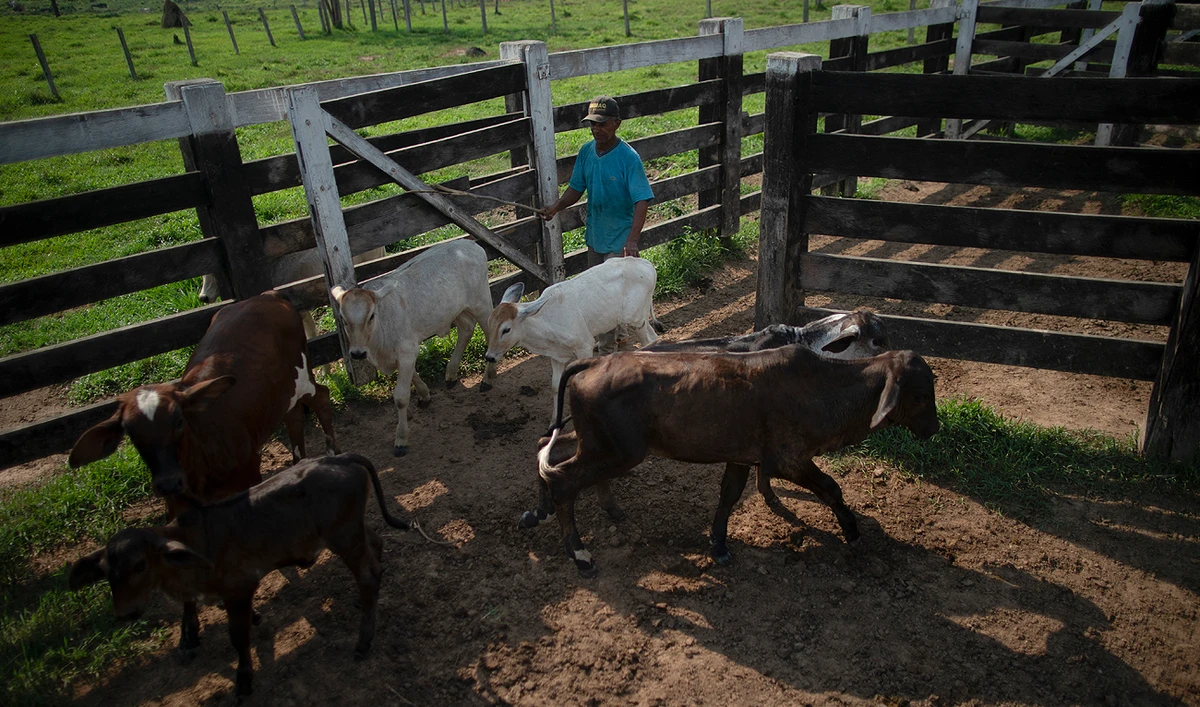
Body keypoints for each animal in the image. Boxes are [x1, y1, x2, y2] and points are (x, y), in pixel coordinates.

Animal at [68, 453, 410, 698]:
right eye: (107, 572)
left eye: (140, 565)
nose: (124, 613)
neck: (195, 543)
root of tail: (341, 458)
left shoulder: (240, 588)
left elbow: (238, 636)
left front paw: (244, 679)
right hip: (353, 532)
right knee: (376, 547)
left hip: (344, 537)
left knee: (368, 575)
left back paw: (363, 640)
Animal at [330, 239, 497, 457]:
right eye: (343, 318)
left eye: (371, 315)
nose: (357, 353)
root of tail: (469, 243)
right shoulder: (403, 353)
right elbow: (412, 375)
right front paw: (424, 395)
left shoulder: (406, 349)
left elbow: (401, 397)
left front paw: (401, 440)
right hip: (455, 310)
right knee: (466, 329)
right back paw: (451, 374)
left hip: (481, 303)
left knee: (490, 334)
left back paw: (487, 378)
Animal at [483, 256, 660, 422]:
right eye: (489, 323)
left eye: (506, 329)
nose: (489, 356)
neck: (546, 321)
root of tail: (646, 264)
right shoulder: (556, 356)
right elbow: (555, 385)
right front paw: (554, 422)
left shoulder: (584, 346)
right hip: (642, 318)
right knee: (654, 338)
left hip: (636, 320)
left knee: (648, 342)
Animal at [532, 345, 940, 575]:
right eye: (921, 395)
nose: (935, 428)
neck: (822, 387)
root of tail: (592, 363)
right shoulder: (790, 459)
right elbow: (831, 488)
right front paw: (852, 532)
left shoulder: (742, 456)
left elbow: (729, 496)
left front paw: (718, 545)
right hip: (616, 451)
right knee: (562, 480)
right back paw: (580, 555)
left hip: (594, 443)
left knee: (545, 449)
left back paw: (543, 511)